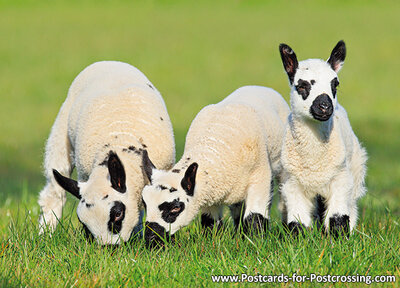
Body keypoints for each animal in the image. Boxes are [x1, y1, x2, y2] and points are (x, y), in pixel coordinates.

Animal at [38, 61, 175, 245]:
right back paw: (45, 235)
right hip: (60, 136)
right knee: (53, 194)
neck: (122, 141)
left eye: (117, 214)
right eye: (83, 223)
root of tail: (108, 62)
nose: (108, 248)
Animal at [142, 85, 290, 245]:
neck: (214, 146)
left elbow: (255, 217)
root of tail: (257, 86)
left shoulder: (260, 178)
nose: (151, 239)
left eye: (176, 208)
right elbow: (210, 222)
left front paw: (255, 242)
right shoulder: (209, 191)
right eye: (144, 204)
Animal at [278, 40, 366, 237]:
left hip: (355, 169)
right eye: (302, 86)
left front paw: (340, 238)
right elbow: (298, 221)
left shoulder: (340, 178)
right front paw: (298, 240)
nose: (325, 106)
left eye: (335, 85)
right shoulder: (293, 184)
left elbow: (338, 217)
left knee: (351, 205)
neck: (314, 160)